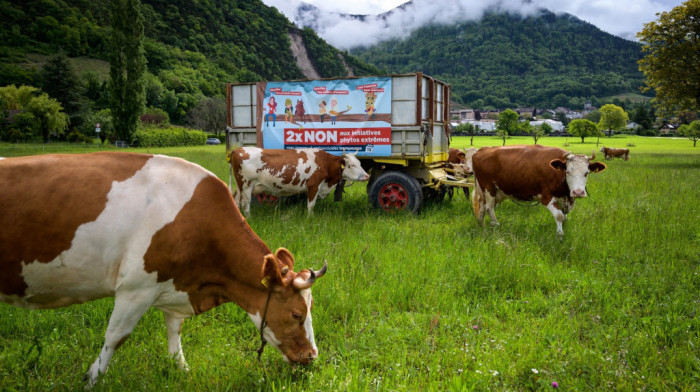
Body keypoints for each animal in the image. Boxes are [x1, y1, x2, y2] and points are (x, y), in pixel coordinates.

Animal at [0, 152, 328, 386]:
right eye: (296, 314)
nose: (312, 356)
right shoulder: (136, 288)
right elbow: (115, 336)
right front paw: (92, 378)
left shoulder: (174, 285)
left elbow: (175, 330)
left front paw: (181, 368)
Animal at [231, 147, 372, 216]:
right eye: (352, 165)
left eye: (360, 163)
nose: (367, 176)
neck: (324, 163)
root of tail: (238, 150)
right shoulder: (314, 186)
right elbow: (311, 205)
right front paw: (310, 219)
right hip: (247, 186)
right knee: (245, 205)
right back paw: (248, 219)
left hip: (239, 187)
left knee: (236, 202)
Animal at [470, 145, 608, 234]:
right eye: (568, 171)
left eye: (586, 173)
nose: (578, 192)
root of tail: (482, 150)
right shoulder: (546, 197)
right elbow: (559, 216)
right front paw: (560, 236)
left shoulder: (564, 199)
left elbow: (564, 217)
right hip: (489, 188)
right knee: (489, 208)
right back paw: (496, 225)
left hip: (490, 192)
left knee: (482, 208)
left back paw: (482, 226)